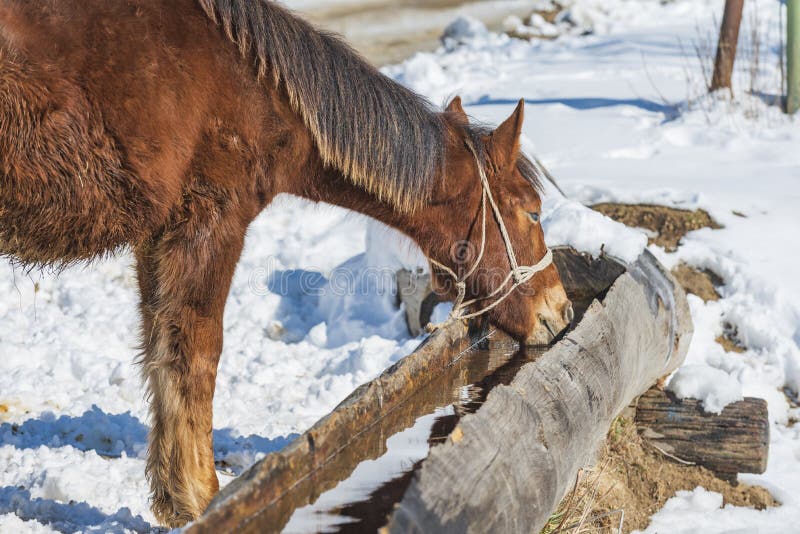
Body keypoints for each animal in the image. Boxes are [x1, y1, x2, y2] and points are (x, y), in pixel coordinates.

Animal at [0, 0, 573, 527]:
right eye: (533, 210)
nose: (562, 310)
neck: (251, 86)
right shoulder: (208, 221)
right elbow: (196, 355)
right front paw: (202, 498)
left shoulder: (156, 237)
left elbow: (160, 352)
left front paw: (174, 498)